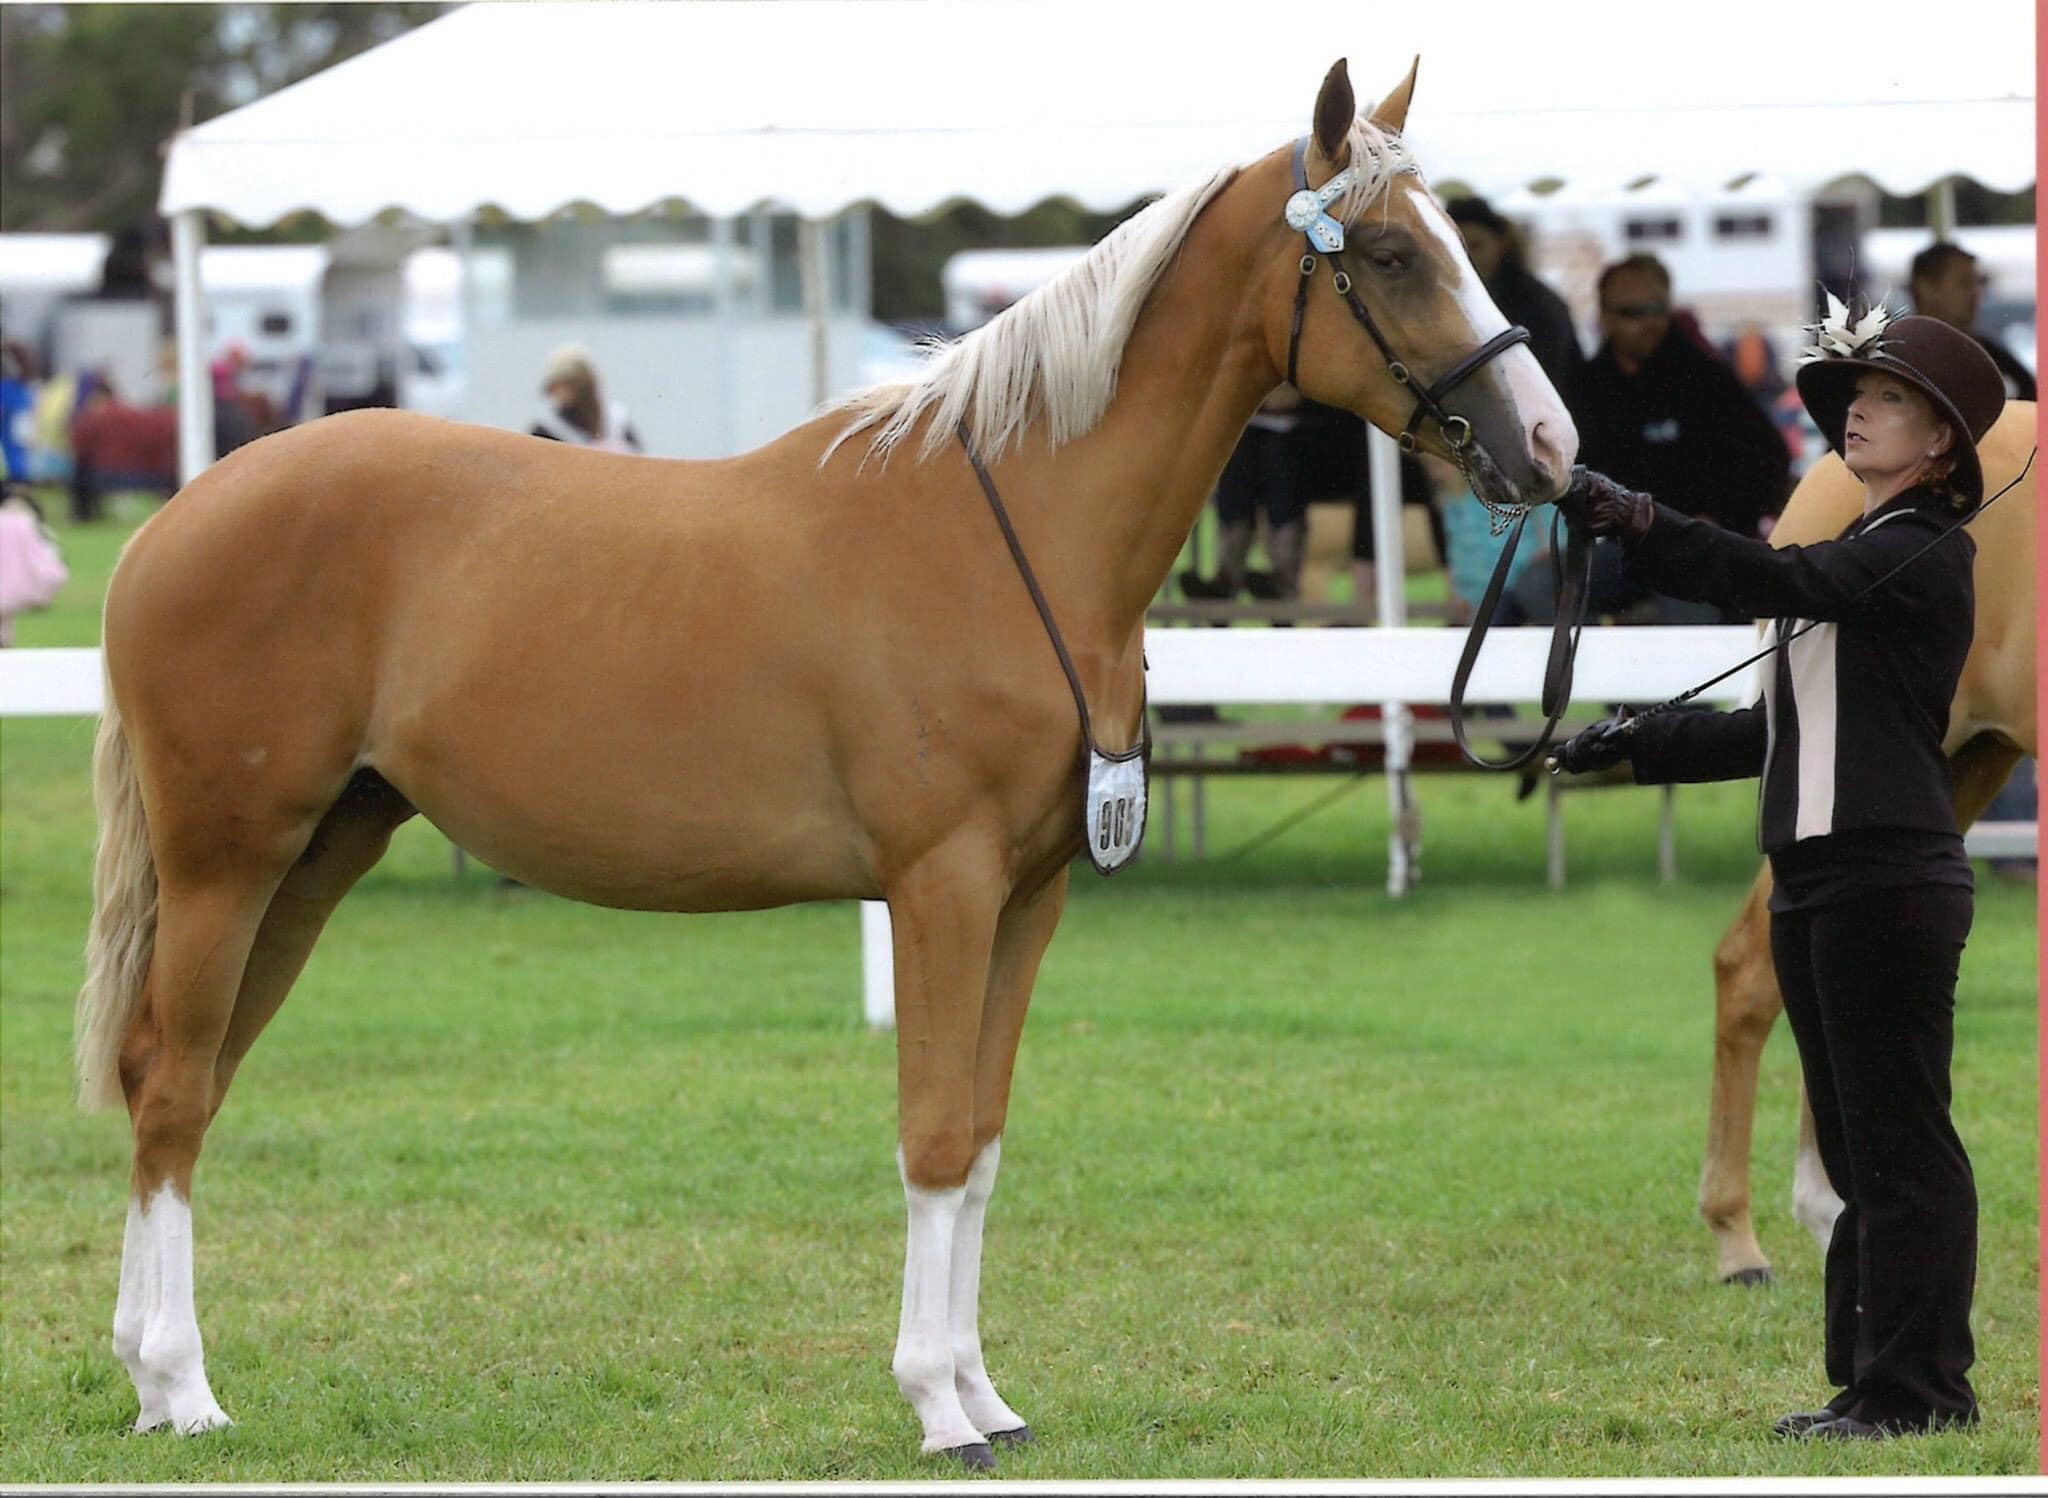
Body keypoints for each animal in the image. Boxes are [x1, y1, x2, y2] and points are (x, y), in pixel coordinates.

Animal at [75, 58, 1576, 1464]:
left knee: (174, 1081)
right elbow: (930, 1135)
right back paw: (186, 1389)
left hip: (317, 854)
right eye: (1389, 251)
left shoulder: (1030, 898)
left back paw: (149, 1379)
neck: (1015, 536)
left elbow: (981, 1139)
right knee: (172, 1090)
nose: (1553, 446)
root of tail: (168, 525)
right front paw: (935, 1407)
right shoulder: (941, 887)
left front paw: (987, 1393)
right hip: (228, 863)